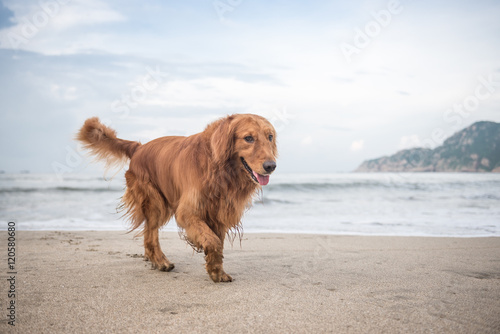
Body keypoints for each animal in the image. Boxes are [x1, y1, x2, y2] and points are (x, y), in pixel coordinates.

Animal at [77, 115, 278, 282]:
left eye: (270, 137)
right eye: (249, 138)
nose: (271, 166)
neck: (218, 169)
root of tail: (139, 147)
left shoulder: (219, 214)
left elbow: (218, 242)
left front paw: (217, 271)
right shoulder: (188, 212)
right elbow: (212, 241)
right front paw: (214, 269)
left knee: (147, 232)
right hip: (155, 202)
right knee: (151, 233)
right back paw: (160, 261)